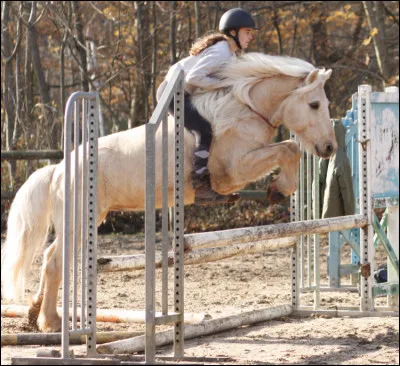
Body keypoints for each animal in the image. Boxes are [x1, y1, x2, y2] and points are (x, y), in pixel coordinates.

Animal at [1, 52, 338, 332]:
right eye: (314, 105)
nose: (329, 148)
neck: (246, 110)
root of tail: (59, 168)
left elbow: (290, 148)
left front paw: (279, 189)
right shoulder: (233, 171)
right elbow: (289, 149)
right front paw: (280, 189)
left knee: (50, 258)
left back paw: (34, 314)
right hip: (81, 219)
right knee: (55, 261)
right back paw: (51, 322)